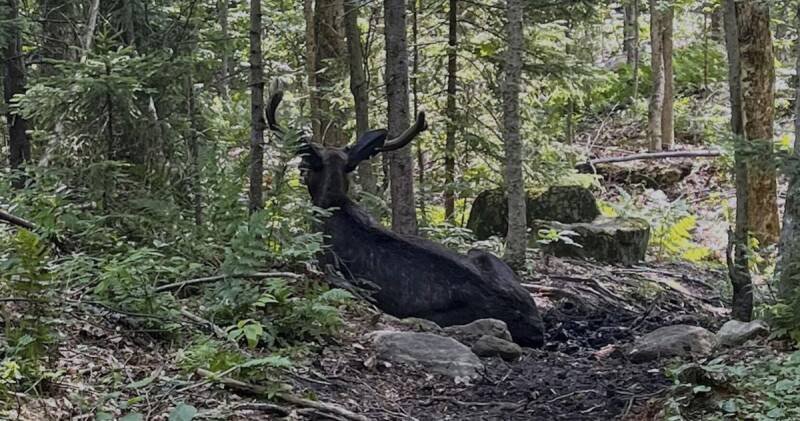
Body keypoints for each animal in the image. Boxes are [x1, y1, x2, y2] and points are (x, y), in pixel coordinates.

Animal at [267, 91, 544, 347]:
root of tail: (535, 325)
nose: (300, 170)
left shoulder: (324, 259)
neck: (333, 204)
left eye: (307, 164)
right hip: (484, 255)